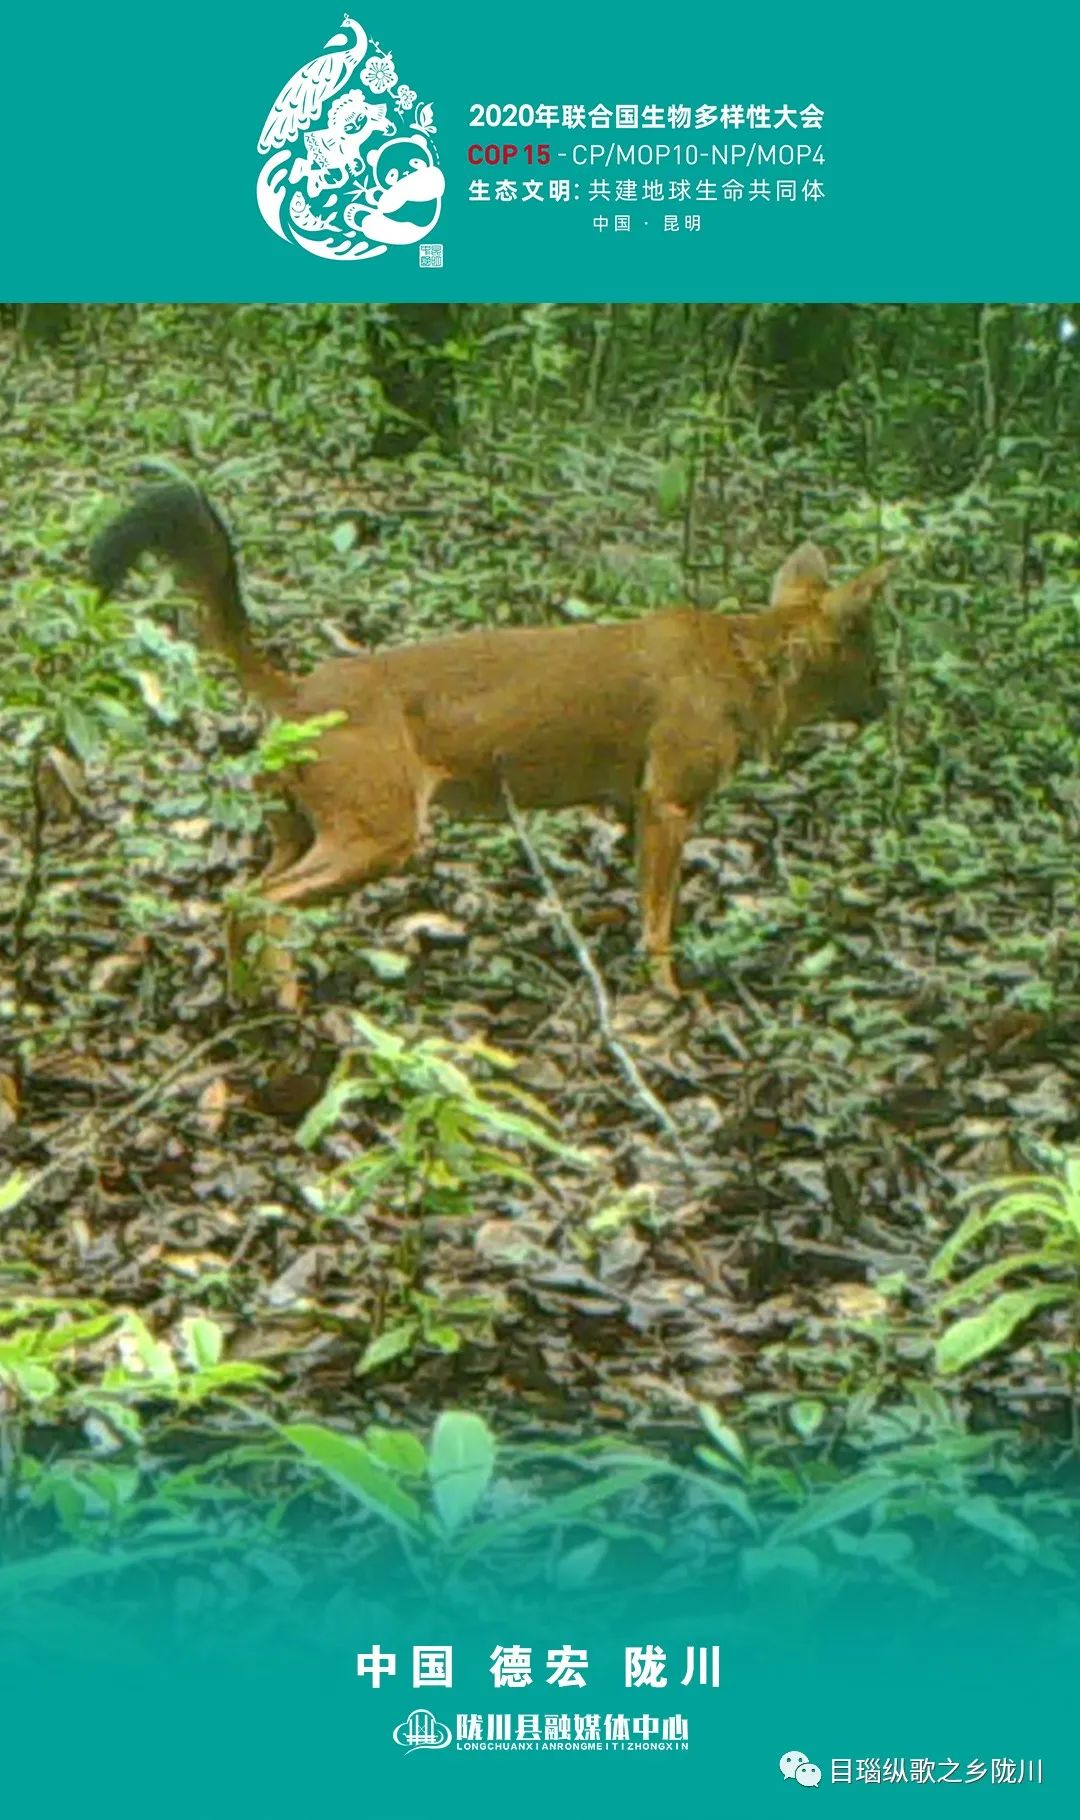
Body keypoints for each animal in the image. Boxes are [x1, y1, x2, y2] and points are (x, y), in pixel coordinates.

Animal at [88, 484, 888, 997]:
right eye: (874, 654)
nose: (889, 703)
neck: (746, 660)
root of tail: (298, 691)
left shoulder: (633, 805)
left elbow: (639, 903)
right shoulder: (669, 803)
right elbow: (660, 924)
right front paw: (669, 995)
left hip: (297, 832)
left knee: (235, 900)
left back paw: (245, 1002)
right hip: (379, 836)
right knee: (261, 904)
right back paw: (285, 1007)